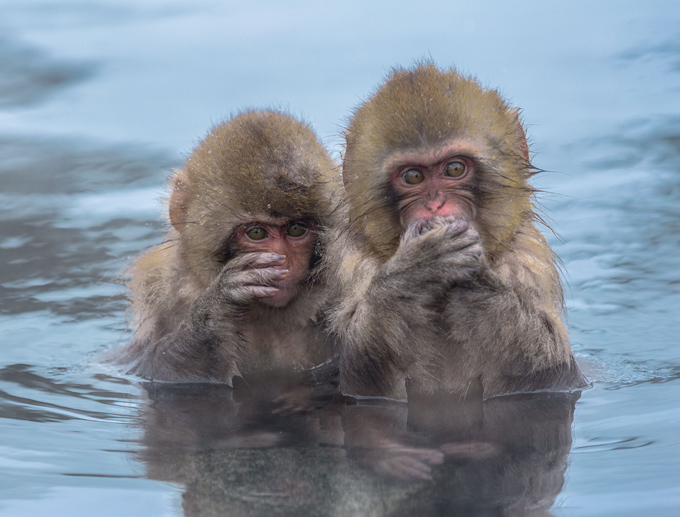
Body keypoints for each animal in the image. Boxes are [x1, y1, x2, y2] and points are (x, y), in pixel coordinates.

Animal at [324, 63, 584, 400]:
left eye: (455, 169)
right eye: (412, 176)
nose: (437, 207)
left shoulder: (527, 259)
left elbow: (546, 376)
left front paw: (477, 282)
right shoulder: (354, 265)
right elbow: (364, 379)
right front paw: (417, 268)